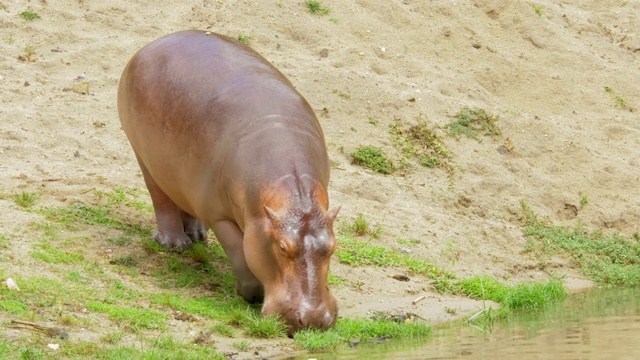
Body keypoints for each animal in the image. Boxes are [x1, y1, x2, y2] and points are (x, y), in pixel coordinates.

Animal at [119, 29, 340, 334]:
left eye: (331, 247)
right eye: (283, 247)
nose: (314, 320)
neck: (294, 198)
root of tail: (154, 44)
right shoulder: (220, 215)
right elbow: (240, 254)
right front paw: (250, 293)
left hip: (184, 173)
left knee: (183, 199)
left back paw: (196, 236)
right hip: (145, 156)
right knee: (161, 198)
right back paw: (175, 244)